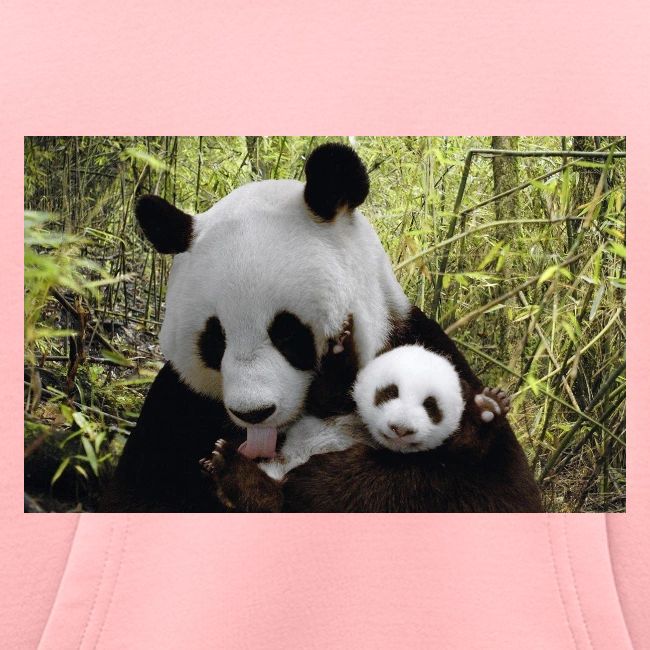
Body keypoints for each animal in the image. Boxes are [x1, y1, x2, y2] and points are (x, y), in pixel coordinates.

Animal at [101, 143, 541, 513]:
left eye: (287, 333)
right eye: (215, 340)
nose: (254, 413)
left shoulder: (422, 347)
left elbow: (492, 490)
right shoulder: (178, 405)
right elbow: (137, 494)